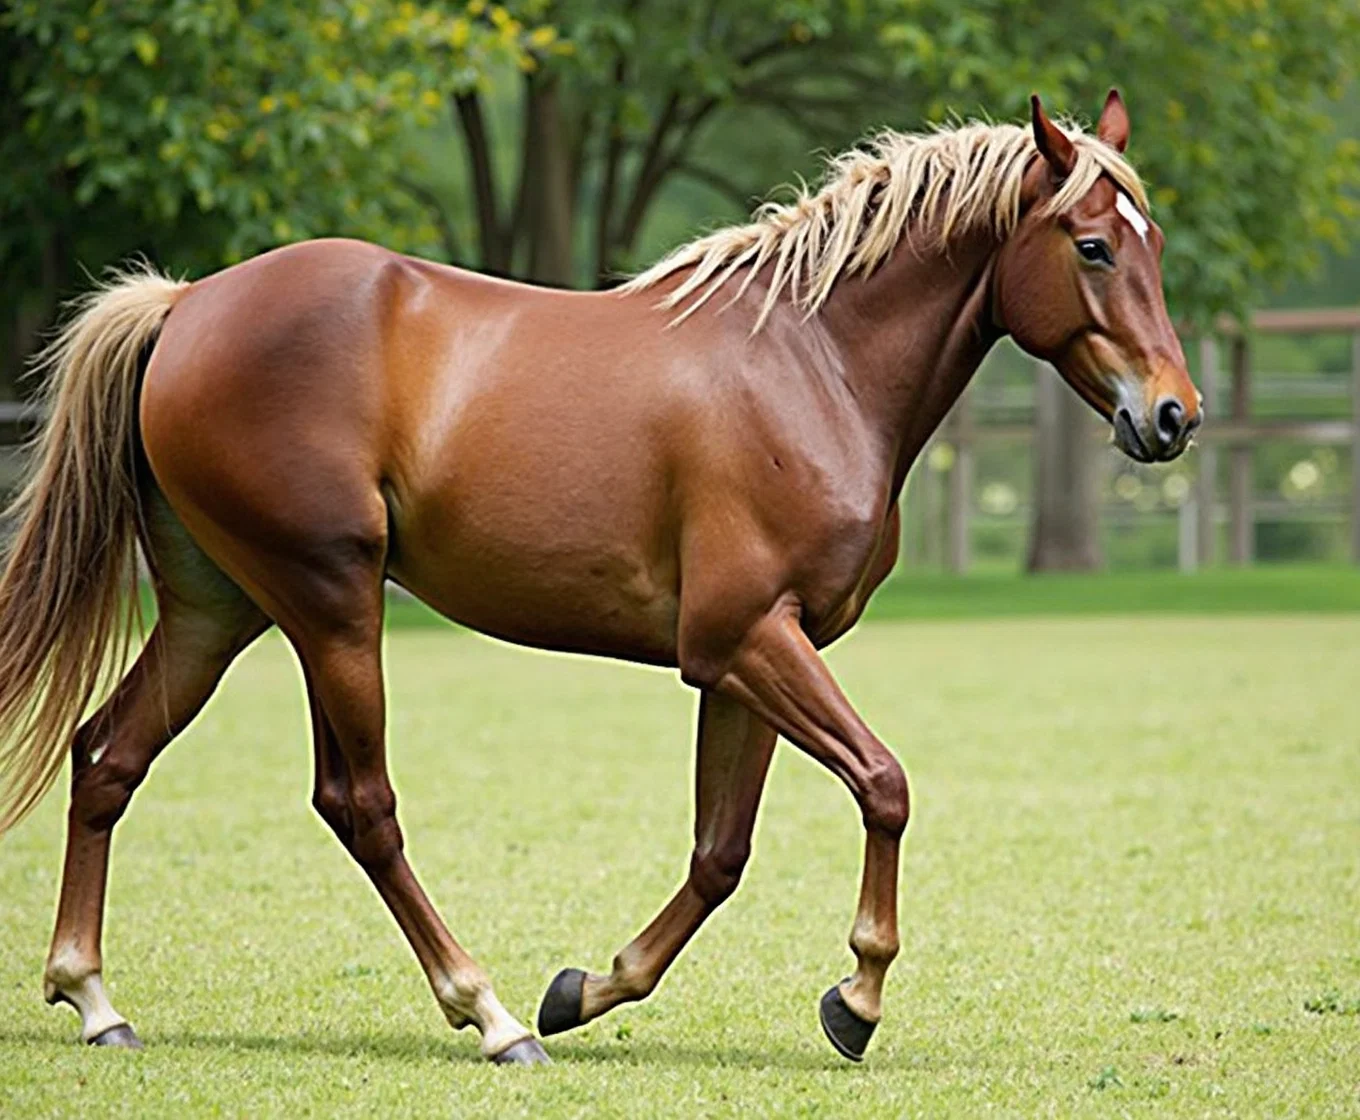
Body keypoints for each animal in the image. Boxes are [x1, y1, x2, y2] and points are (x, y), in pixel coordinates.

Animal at [0, 91, 1196, 1065]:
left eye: (1152, 245)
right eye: (1094, 246)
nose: (1172, 416)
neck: (813, 367)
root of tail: (187, 305)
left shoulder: (750, 656)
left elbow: (721, 853)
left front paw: (589, 987)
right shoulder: (744, 639)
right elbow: (884, 784)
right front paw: (855, 998)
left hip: (222, 606)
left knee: (109, 757)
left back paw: (94, 998)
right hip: (327, 603)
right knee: (360, 804)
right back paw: (487, 1017)